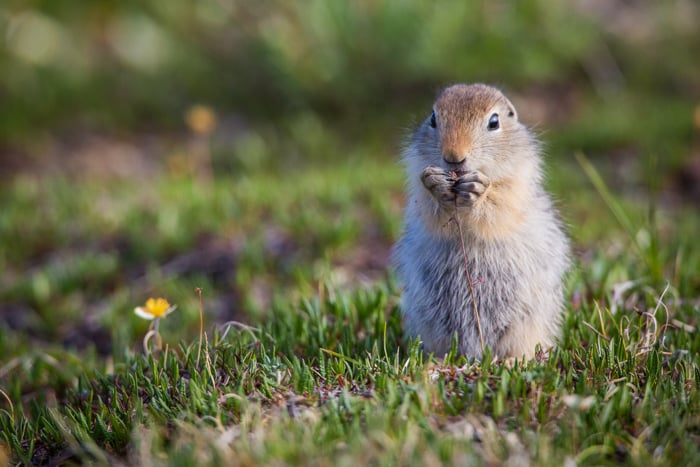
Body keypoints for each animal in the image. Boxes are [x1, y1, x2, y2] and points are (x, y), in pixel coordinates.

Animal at [392, 83, 570, 360]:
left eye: (494, 122)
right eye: (433, 118)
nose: (453, 157)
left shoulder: (516, 185)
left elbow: (500, 205)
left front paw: (478, 189)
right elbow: (427, 207)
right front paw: (434, 182)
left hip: (528, 323)